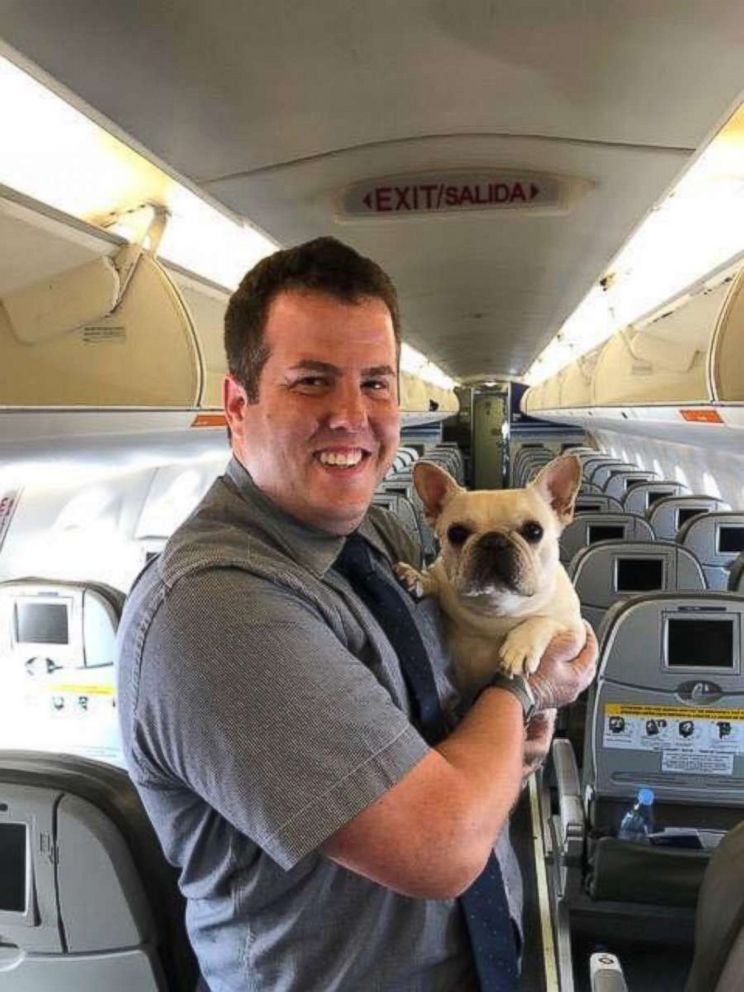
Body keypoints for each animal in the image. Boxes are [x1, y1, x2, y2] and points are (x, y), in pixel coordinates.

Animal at [398, 454, 584, 692]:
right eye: (456, 533)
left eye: (534, 531)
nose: (494, 540)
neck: (498, 608)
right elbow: (435, 579)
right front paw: (418, 577)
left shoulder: (574, 628)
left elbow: (544, 620)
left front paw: (521, 647)